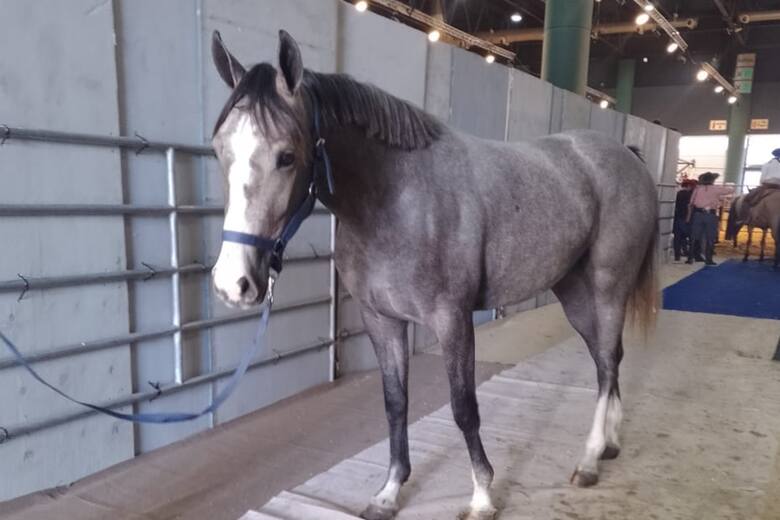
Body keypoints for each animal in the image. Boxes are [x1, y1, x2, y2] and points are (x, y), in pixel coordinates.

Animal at [209, 30, 659, 520]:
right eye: (220, 150)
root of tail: (627, 156)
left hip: (608, 287)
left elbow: (464, 408)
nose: (233, 283)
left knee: (608, 362)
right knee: (605, 358)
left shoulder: (452, 321)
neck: (396, 198)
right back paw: (609, 444)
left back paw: (590, 459)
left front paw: (482, 496)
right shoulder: (382, 321)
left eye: (287, 156)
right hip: (573, 290)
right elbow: (395, 403)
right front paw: (390, 491)